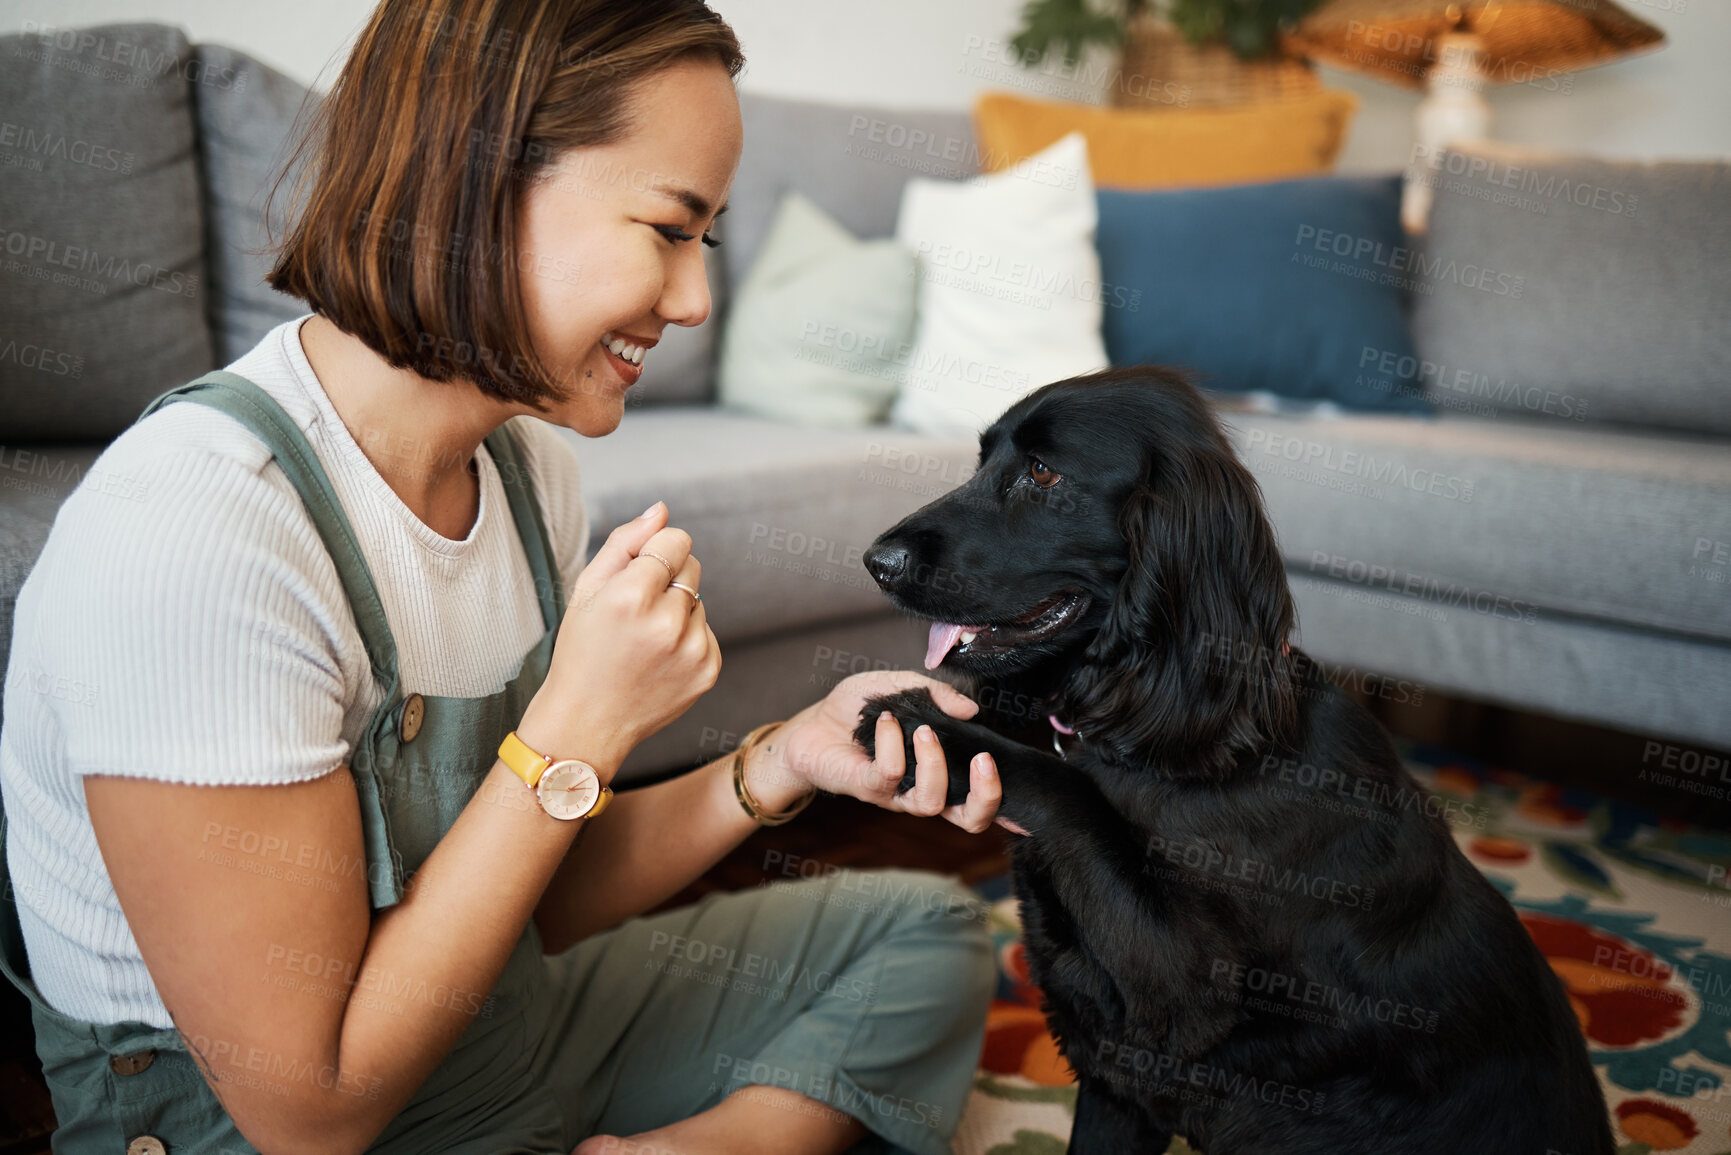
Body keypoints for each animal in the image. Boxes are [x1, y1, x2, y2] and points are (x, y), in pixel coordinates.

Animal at [858, 370, 1613, 1155]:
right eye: (982, 462)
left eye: (1042, 473)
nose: (876, 562)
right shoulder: (1118, 1080)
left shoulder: (1181, 992)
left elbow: (1074, 791)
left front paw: (920, 723)